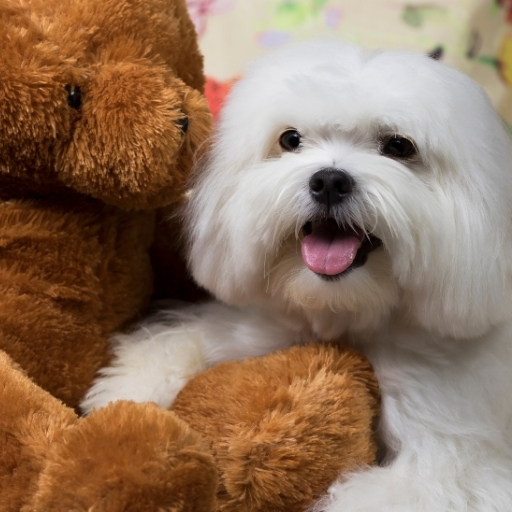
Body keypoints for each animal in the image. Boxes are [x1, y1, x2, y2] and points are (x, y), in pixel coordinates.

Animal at [82, 41, 512, 512]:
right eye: (290, 139)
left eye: (399, 146)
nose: (329, 180)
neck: (344, 313)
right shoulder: (256, 333)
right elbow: (185, 341)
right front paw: (125, 394)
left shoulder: (451, 464)